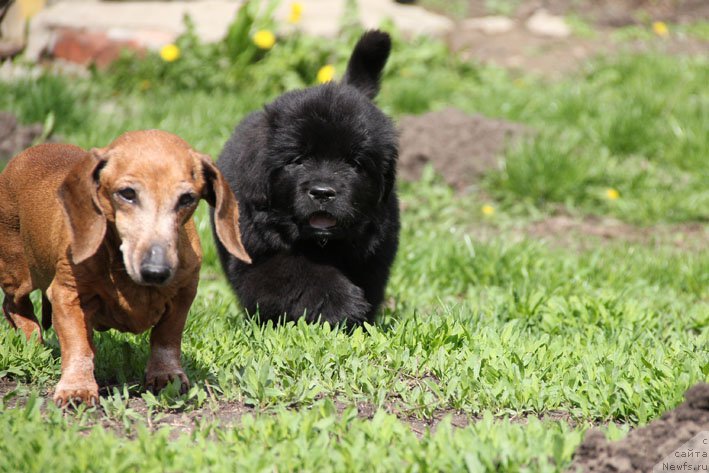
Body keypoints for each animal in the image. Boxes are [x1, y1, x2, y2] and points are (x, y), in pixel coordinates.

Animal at [210, 29, 398, 324]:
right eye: (298, 160)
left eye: (354, 163)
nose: (322, 192)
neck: (322, 244)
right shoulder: (257, 253)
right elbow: (299, 274)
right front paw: (343, 304)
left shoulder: (375, 252)